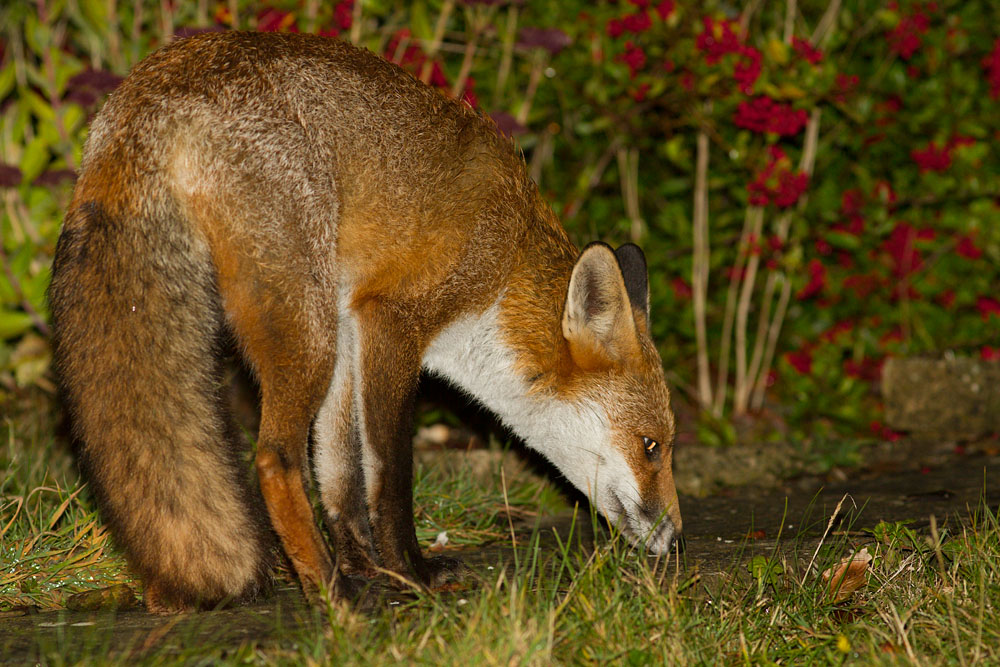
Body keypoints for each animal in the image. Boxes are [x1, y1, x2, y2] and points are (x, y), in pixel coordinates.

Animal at [48, 30, 681, 613]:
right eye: (651, 446)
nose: (676, 540)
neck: (504, 265)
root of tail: (155, 87)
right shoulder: (393, 321)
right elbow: (390, 472)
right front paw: (410, 573)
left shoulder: (354, 329)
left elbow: (341, 471)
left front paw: (365, 563)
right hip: (309, 331)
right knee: (273, 459)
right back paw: (331, 593)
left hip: (319, 328)